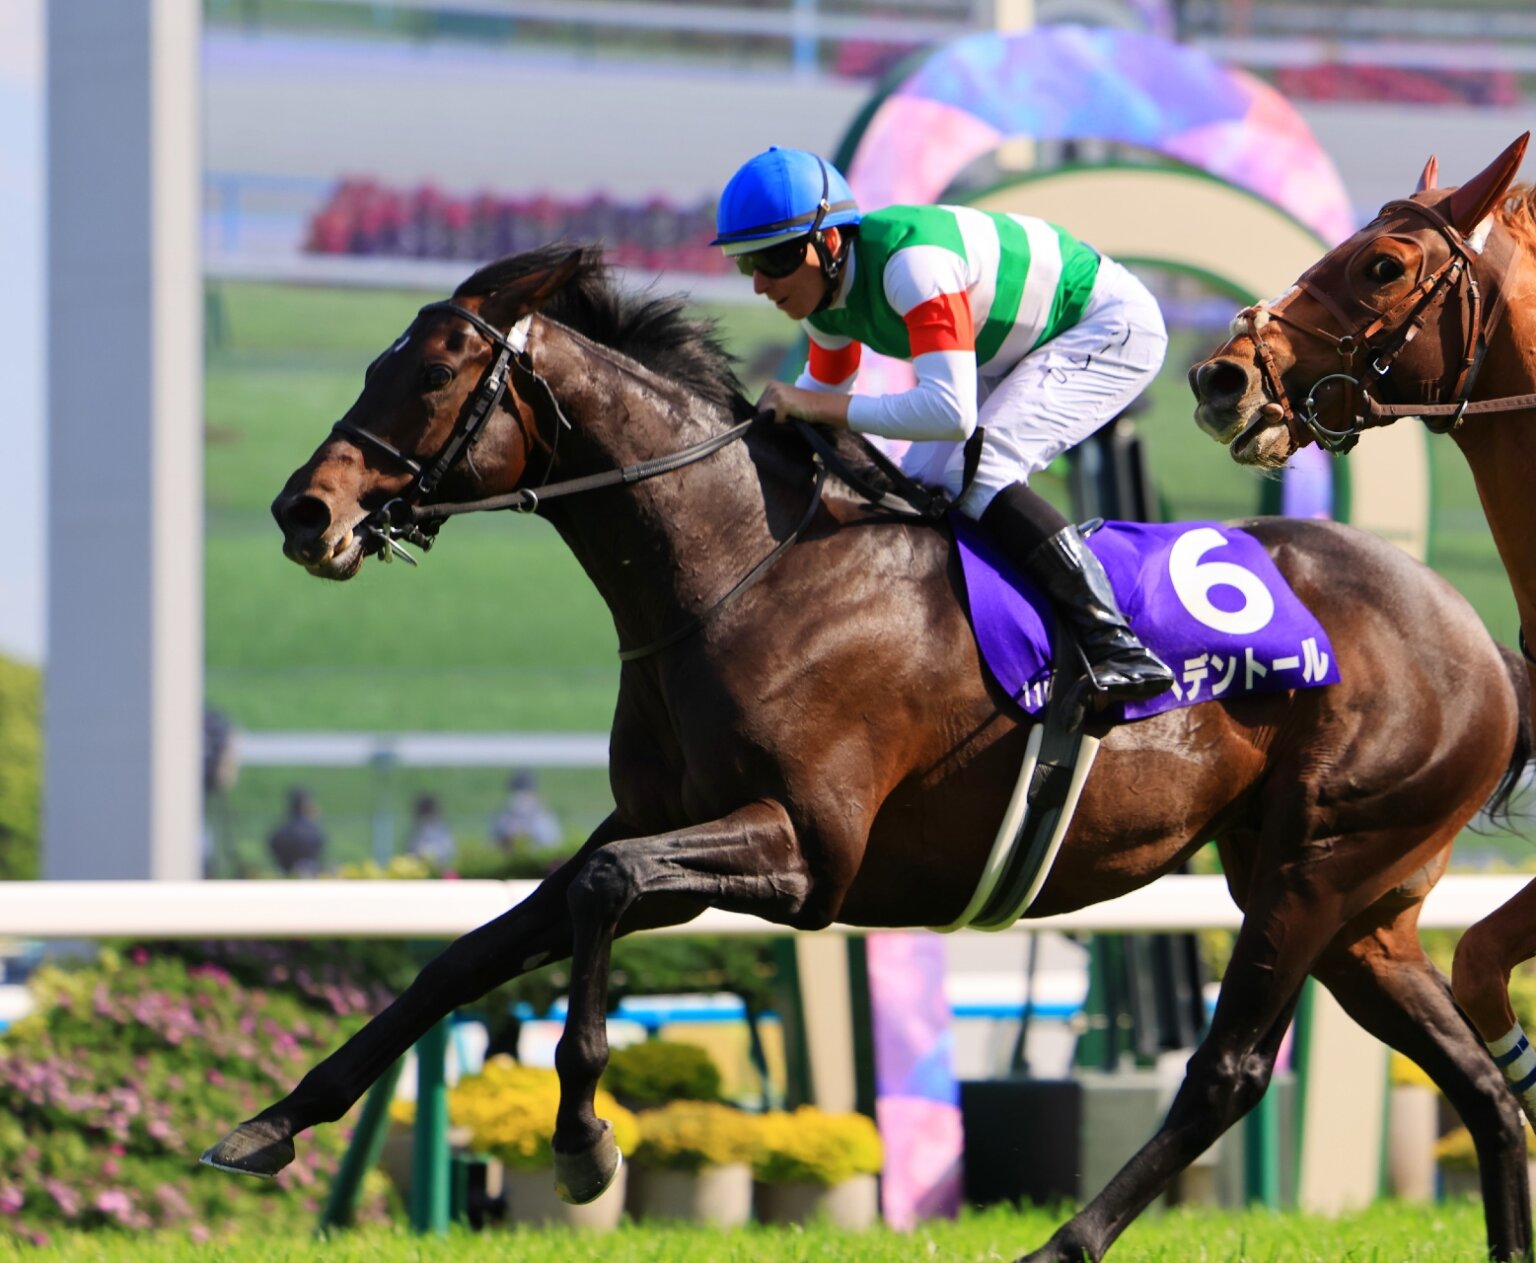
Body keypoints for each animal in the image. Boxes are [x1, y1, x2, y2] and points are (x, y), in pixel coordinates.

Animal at [204, 244, 1536, 1263]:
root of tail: (1478, 638)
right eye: (379, 359)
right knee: (1481, 1086)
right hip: (1354, 903)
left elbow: (599, 895)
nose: (303, 511)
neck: (745, 568)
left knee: (1232, 1071)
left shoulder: (808, 856)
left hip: (1317, 863)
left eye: (434, 370)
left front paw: (584, 1144)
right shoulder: (660, 821)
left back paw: (1060, 1245)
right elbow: (473, 951)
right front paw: (270, 1124)